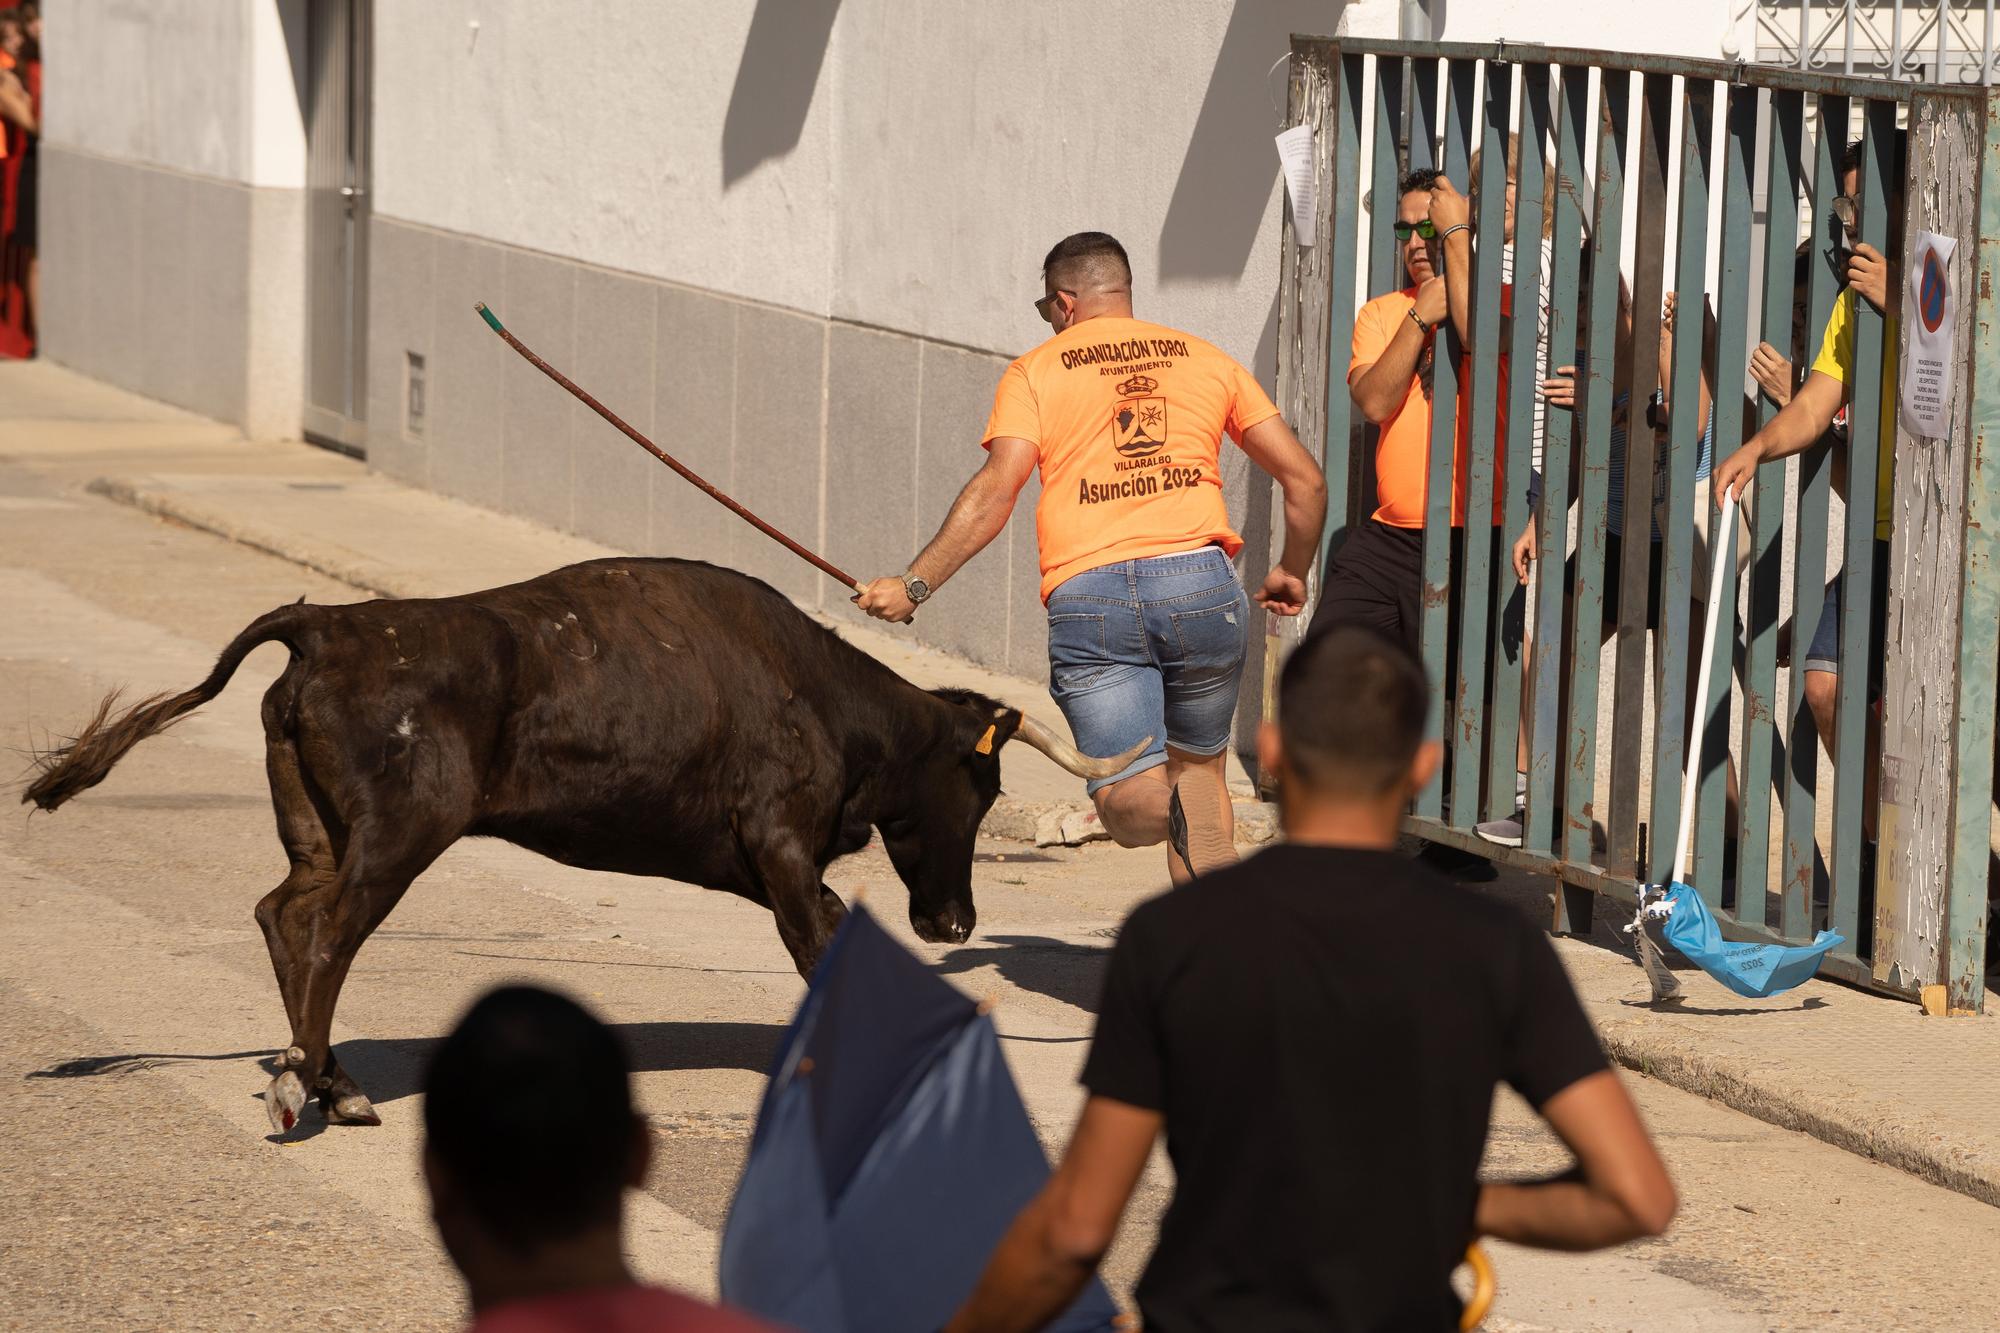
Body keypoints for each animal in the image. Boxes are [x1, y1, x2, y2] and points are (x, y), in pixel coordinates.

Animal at [23, 556, 1144, 1128]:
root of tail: (329, 626)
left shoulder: (776, 862)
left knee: (283, 911)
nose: (953, 923)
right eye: (982, 780)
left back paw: (330, 1079)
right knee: (332, 932)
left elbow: (827, 937)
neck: (827, 698)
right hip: (401, 833)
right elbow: (816, 941)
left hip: (322, 832)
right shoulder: (781, 844)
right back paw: (310, 1081)